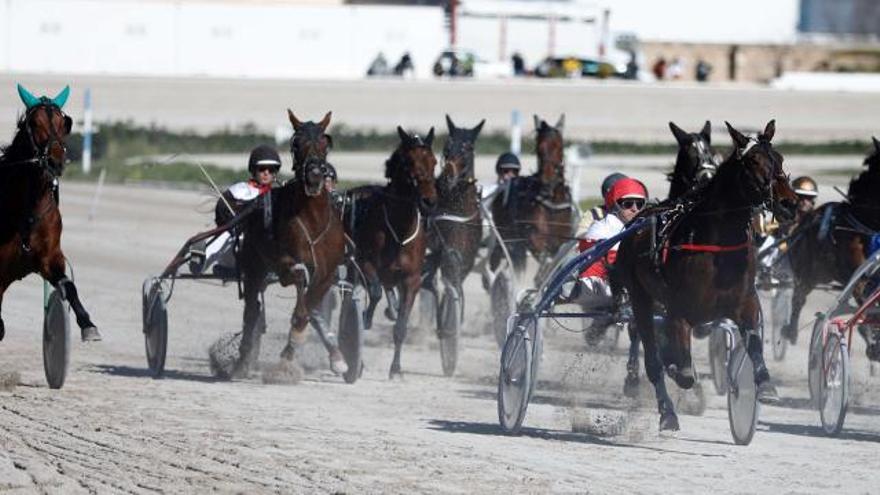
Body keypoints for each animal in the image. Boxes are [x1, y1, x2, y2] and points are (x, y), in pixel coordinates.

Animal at [0, 84, 100, 344]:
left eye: (63, 122)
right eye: (35, 123)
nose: (56, 161)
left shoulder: (49, 257)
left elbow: (68, 286)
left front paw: (88, 325)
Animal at [234, 110, 348, 378]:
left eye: (325, 143)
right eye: (296, 144)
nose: (315, 174)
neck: (313, 220)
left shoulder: (327, 274)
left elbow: (307, 309)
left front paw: (290, 353)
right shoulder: (284, 263)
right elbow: (298, 276)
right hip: (253, 265)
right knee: (251, 310)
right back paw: (243, 360)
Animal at [346, 128, 438, 380]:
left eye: (434, 161)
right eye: (409, 162)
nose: (429, 201)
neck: (399, 229)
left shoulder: (411, 280)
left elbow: (400, 327)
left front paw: (396, 368)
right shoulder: (364, 263)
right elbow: (375, 292)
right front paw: (366, 319)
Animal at [616, 121, 800, 430]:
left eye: (780, 158)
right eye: (753, 161)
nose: (790, 204)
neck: (718, 246)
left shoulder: (745, 303)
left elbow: (754, 345)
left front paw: (764, 386)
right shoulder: (679, 312)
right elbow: (683, 372)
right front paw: (677, 373)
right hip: (640, 297)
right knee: (651, 356)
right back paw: (667, 411)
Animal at [780, 136, 880, 356]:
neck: (864, 222)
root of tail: (807, 220)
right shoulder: (856, 276)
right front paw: (872, 341)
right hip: (809, 273)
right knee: (798, 297)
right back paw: (790, 331)